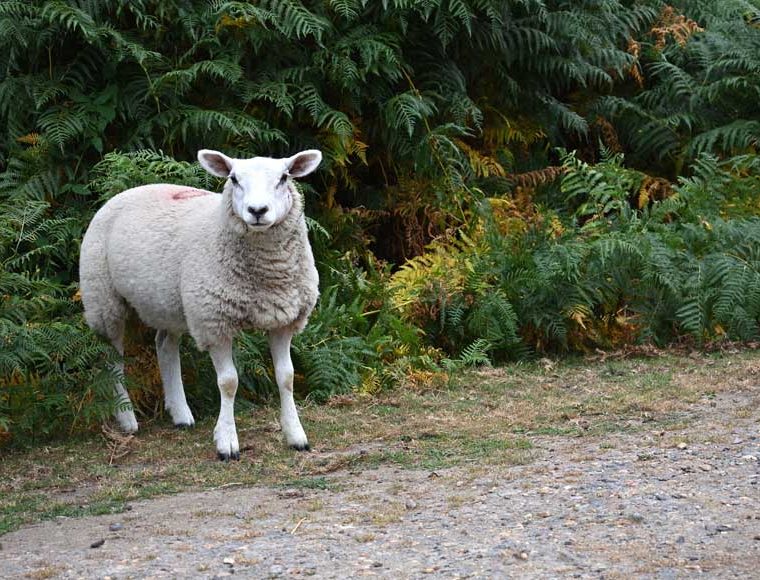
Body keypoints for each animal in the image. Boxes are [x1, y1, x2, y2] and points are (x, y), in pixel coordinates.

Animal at [79, 148, 322, 460]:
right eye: (234, 179)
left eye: (283, 178)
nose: (257, 211)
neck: (265, 278)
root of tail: (131, 190)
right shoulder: (213, 322)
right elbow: (228, 382)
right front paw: (227, 442)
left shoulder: (283, 320)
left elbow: (286, 377)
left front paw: (296, 435)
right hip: (103, 299)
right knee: (112, 359)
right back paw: (127, 419)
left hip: (168, 302)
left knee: (164, 346)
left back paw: (181, 413)